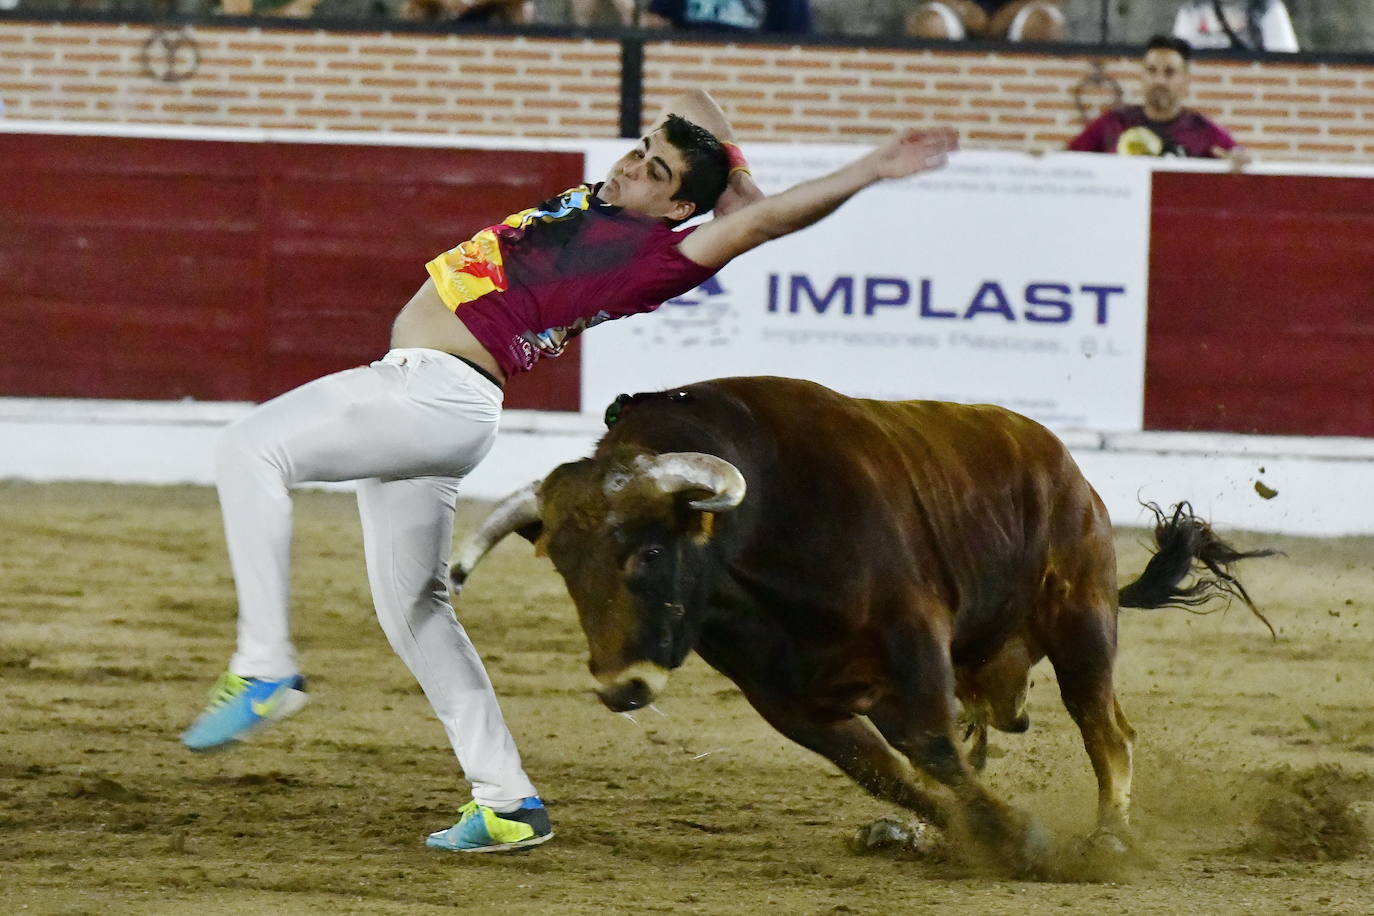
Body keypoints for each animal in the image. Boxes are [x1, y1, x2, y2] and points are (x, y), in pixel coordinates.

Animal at [447, 373, 1264, 873]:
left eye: (649, 550)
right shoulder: (785, 699)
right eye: (563, 566)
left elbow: (929, 748)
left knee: (1104, 727)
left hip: (1080, 620)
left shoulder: (913, 642)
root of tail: (1065, 467)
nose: (622, 689)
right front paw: (940, 830)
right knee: (983, 736)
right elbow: (887, 772)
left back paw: (1110, 837)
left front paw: (1018, 838)